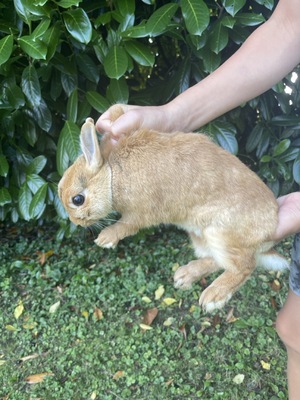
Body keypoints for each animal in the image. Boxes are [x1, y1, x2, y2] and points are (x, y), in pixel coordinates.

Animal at [57, 104, 290, 310]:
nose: (75, 222)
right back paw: (185, 276)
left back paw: (213, 297)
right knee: (217, 260)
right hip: (200, 236)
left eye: (77, 200)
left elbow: (127, 225)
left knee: (244, 266)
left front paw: (105, 239)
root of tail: (271, 228)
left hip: (221, 234)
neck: (112, 174)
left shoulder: (140, 212)